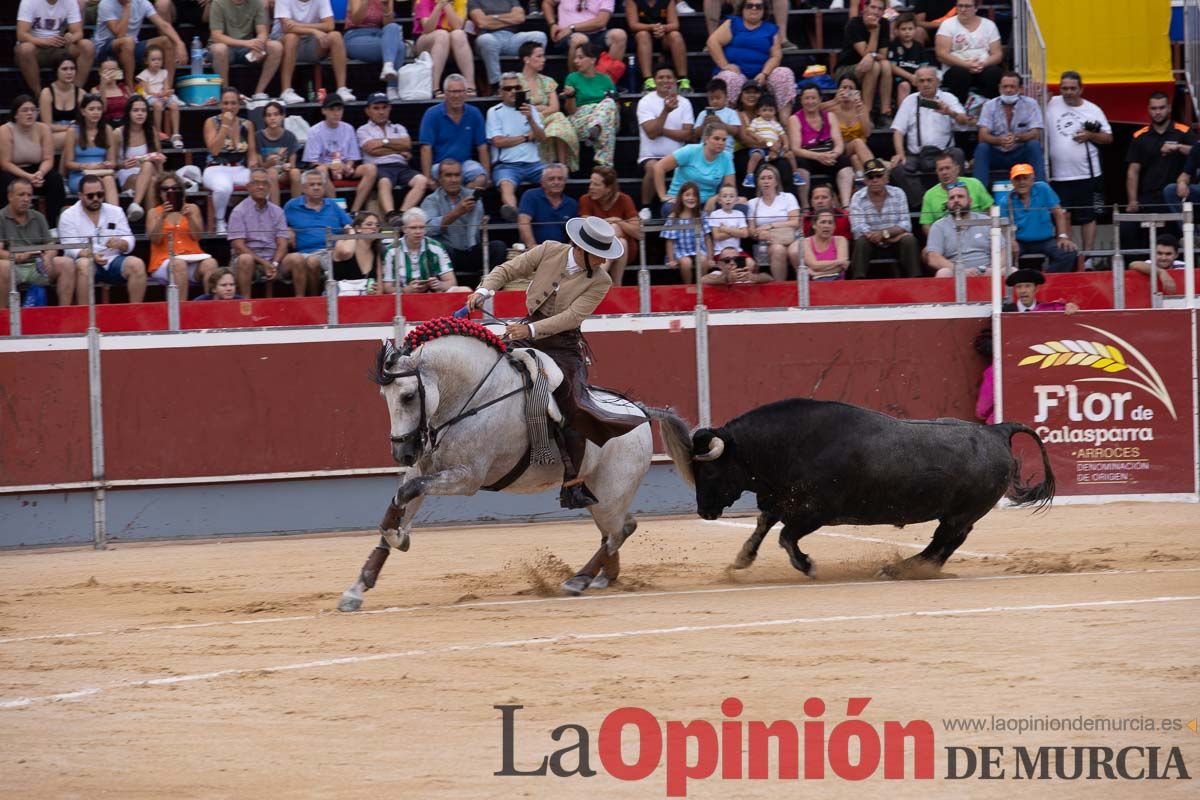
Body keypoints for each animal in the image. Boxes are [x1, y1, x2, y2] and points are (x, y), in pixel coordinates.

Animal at [338, 326, 652, 614]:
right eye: (384, 395)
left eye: (408, 396)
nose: (401, 453)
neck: (474, 399)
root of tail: (641, 413)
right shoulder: (422, 470)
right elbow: (398, 502)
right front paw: (357, 588)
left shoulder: (467, 478)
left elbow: (405, 494)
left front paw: (399, 537)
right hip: (597, 496)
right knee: (618, 529)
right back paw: (603, 578)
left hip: (610, 496)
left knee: (618, 531)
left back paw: (579, 580)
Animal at [652, 400, 1056, 575]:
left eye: (709, 471)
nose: (704, 512)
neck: (788, 444)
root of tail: (996, 430)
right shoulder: (783, 500)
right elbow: (764, 525)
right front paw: (741, 559)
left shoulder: (815, 512)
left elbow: (784, 536)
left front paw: (806, 565)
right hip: (959, 514)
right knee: (944, 545)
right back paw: (905, 568)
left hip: (961, 514)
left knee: (946, 542)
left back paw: (899, 570)